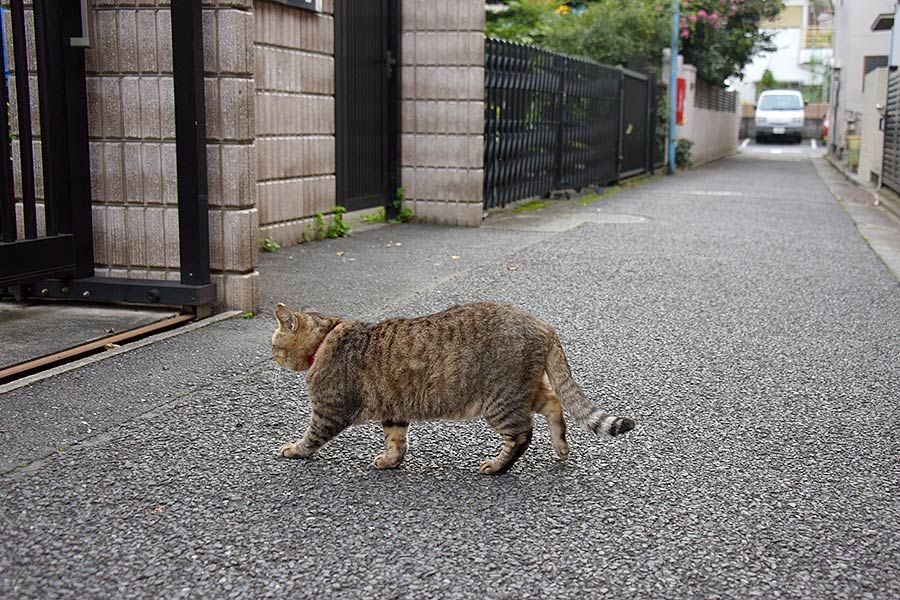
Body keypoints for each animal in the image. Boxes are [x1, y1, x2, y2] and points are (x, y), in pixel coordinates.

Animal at [274, 302, 632, 476]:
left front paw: (294, 449)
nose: (271, 356)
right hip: (525, 390)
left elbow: (311, 437)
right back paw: (561, 447)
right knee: (555, 402)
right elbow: (396, 441)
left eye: (275, 343)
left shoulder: (329, 411)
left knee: (522, 435)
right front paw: (391, 461)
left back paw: (497, 467)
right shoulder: (394, 408)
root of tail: (543, 324)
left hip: (501, 400)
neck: (326, 338)